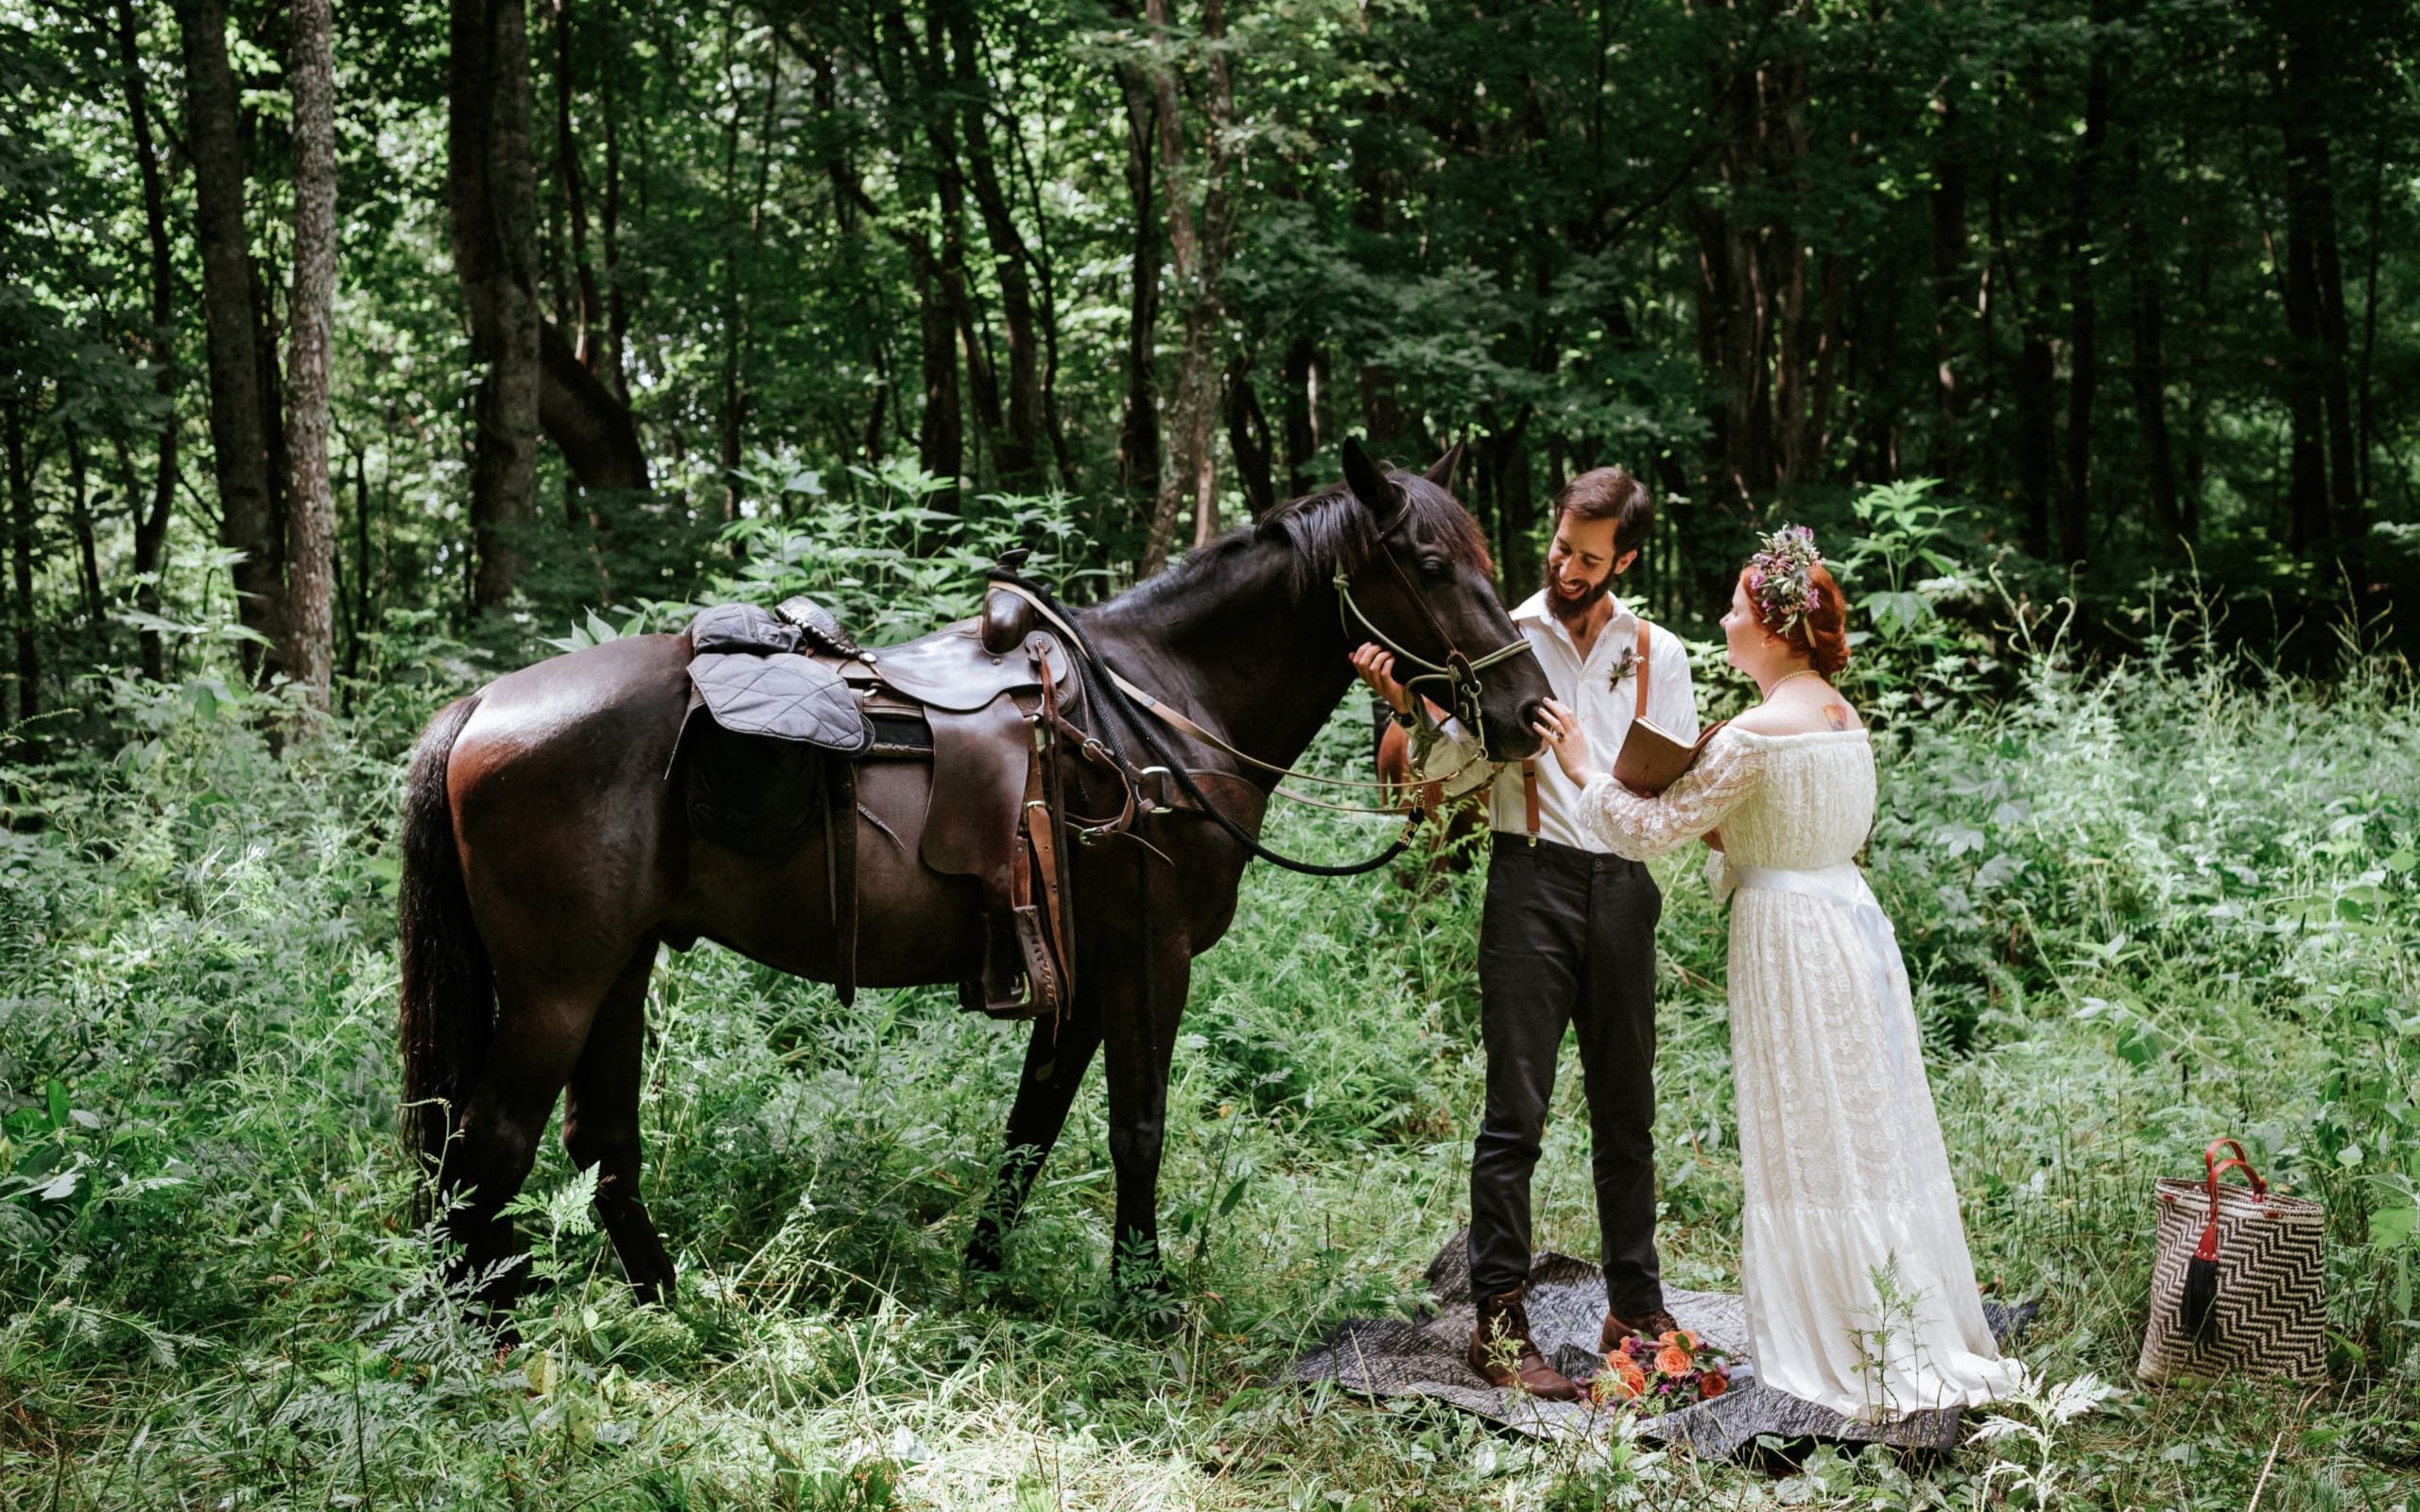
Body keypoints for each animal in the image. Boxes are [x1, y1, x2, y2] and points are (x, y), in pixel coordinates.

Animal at [387, 439, 1539, 1306]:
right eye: (1429, 562)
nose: (1526, 712)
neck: (1162, 708)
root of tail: (481, 707)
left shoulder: (1083, 971)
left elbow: (1032, 1129)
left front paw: (983, 1273)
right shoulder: (1150, 960)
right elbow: (1137, 1129)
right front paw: (1142, 1297)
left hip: (618, 972)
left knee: (598, 1142)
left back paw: (665, 1302)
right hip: (557, 987)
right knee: (487, 1150)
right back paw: (490, 1333)